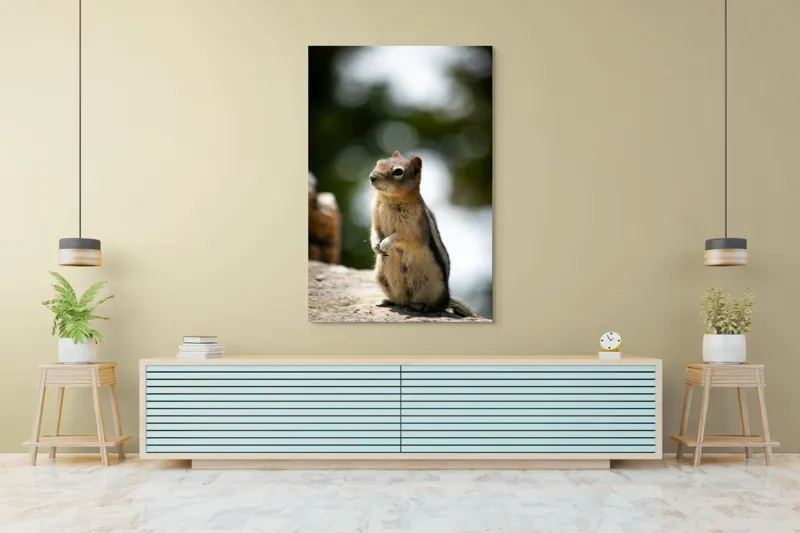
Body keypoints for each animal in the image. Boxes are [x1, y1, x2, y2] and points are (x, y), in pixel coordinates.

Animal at [368, 151, 477, 318]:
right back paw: (387, 301)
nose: (372, 177)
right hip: (381, 278)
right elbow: (374, 232)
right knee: (400, 301)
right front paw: (376, 246)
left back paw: (423, 306)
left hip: (434, 289)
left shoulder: (413, 229)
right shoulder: (375, 221)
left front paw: (386, 243)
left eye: (398, 172)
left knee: (438, 306)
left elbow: (402, 237)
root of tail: (447, 298)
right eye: (378, 162)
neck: (390, 199)